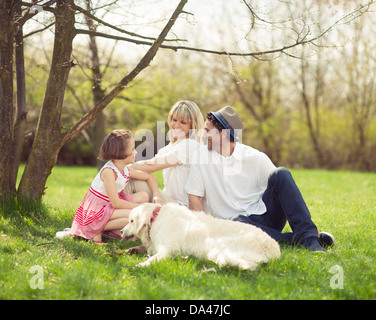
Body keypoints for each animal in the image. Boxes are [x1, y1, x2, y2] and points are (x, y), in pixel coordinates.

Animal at [122, 204, 280, 268]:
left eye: (131, 221)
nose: (122, 231)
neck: (154, 219)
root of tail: (275, 250)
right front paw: (132, 250)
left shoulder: (168, 248)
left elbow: (154, 258)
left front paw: (140, 265)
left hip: (216, 246)